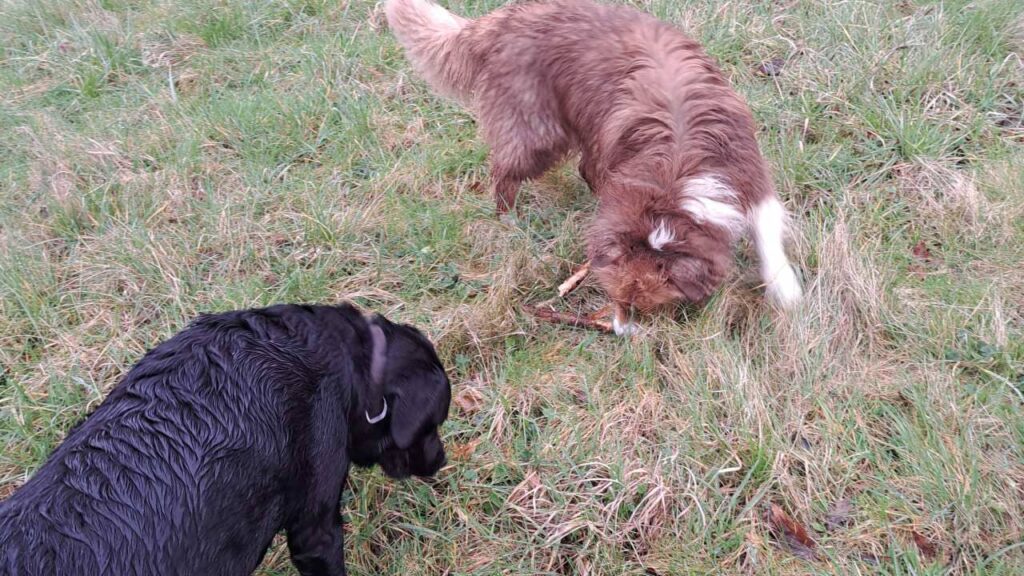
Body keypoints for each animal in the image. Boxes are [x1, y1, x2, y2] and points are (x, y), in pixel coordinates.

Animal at [387, 0, 802, 332]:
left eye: (641, 306)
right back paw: (509, 220)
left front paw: (785, 289)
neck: (675, 172)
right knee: (504, 173)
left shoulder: (748, 173)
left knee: (576, 168)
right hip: (537, 133)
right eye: (618, 299)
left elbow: (766, 230)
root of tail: (503, 18)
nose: (619, 330)